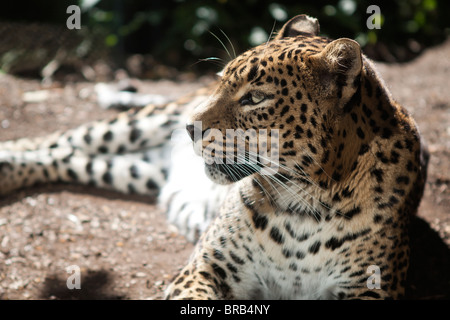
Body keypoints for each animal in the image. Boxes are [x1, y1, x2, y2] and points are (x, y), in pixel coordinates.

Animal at [0, 14, 428, 300]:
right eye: (221, 81)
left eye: (255, 98)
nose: (189, 127)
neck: (305, 203)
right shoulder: (205, 267)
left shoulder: (371, 288)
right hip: (135, 124)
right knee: (58, 137)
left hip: (132, 171)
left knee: (65, 154)